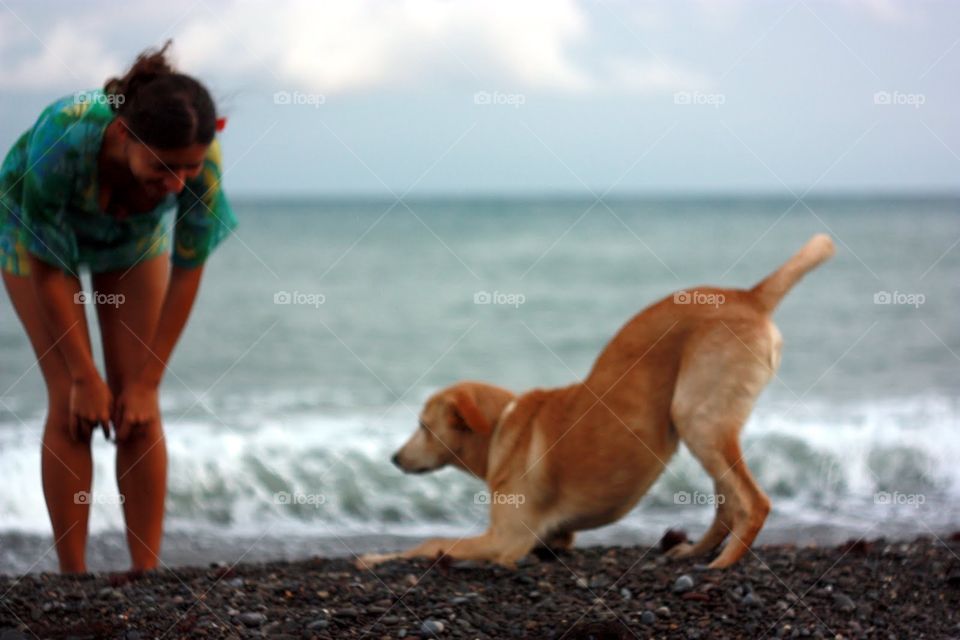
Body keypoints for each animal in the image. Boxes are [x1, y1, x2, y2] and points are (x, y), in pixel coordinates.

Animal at [358, 235, 832, 568]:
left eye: (423, 425)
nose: (394, 458)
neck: (501, 429)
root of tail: (750, 295)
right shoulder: (551, 537)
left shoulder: (506, 540)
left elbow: (430, 542)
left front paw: (378, 558)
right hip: (709, 423)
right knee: (728, 503)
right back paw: (697, 552)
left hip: (696, 416)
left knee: (752, 502)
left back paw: (723, 564)